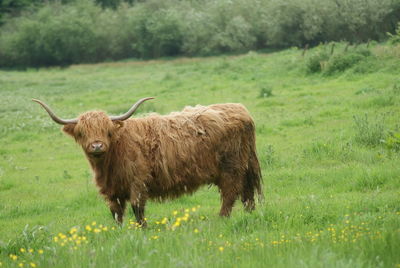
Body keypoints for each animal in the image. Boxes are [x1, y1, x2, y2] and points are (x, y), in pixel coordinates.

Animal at [33, 97, 262, 225]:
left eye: (107, 131)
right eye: (82, 132)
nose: (97, 146)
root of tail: (240, 110)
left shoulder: (138, 182)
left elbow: (137, 209)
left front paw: (143, 229)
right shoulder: (111, 190)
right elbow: (116, 213)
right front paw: (120, 232)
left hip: (231, 168)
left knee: (230, 193)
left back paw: (221, 219)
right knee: (247, 193)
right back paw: (249, 215)